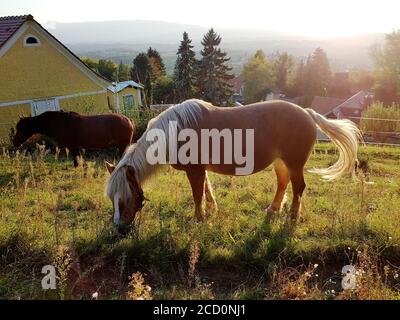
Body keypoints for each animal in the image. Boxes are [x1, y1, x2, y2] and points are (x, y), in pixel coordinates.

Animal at [104, 99, 360, 234]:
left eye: (124, 198)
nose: (119, 228)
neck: (175, 131)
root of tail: (307, 113)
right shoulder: (201, 170)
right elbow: (206, 190)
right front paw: (211, 211)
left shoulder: (194, 170)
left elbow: (197, 194)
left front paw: (198, 219)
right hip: (281, 163)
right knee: (283, 183)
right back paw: (274, 209)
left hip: (294, 163)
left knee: (299, 187)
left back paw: (292, 218)